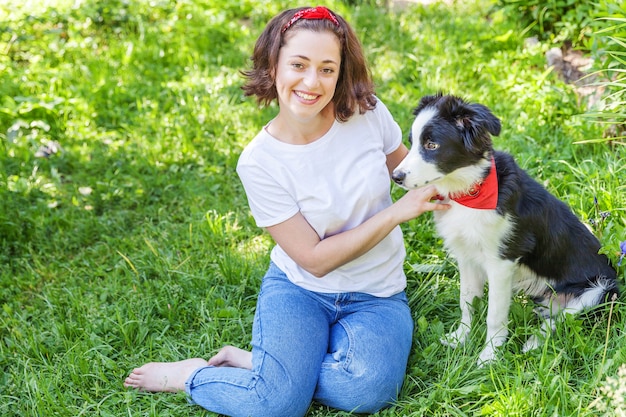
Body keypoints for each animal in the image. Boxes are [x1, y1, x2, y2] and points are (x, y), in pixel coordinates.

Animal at [392, 92, 616, 362]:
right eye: (412, 142)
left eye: (431, 145)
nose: (395, 176)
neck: (470, 192)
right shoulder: (466, 256)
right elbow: (466, 300)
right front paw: (461, 337)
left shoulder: (501, 261)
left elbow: (494, 315)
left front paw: (489, 355)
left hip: (600, 290)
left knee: (561, 320)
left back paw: (532, 344)